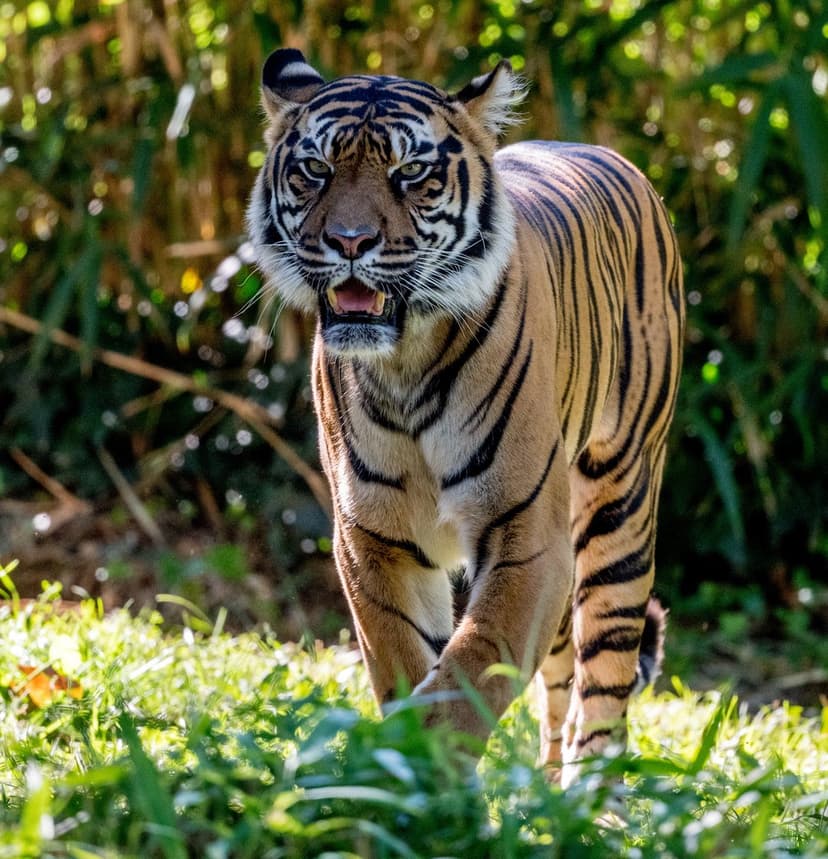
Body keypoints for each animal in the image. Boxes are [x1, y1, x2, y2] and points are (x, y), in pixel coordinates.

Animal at [247, 48, 684, 785]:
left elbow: (474, 668)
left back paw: (593, 796)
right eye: (316, 170)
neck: (405, 363)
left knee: (604, 679)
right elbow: (408, 661)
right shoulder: (375, 539)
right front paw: (404, 773)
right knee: (560, 681)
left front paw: (432, 772)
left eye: (409, 174)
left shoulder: (527, 535)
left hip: (618, 507)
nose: (349, 241)